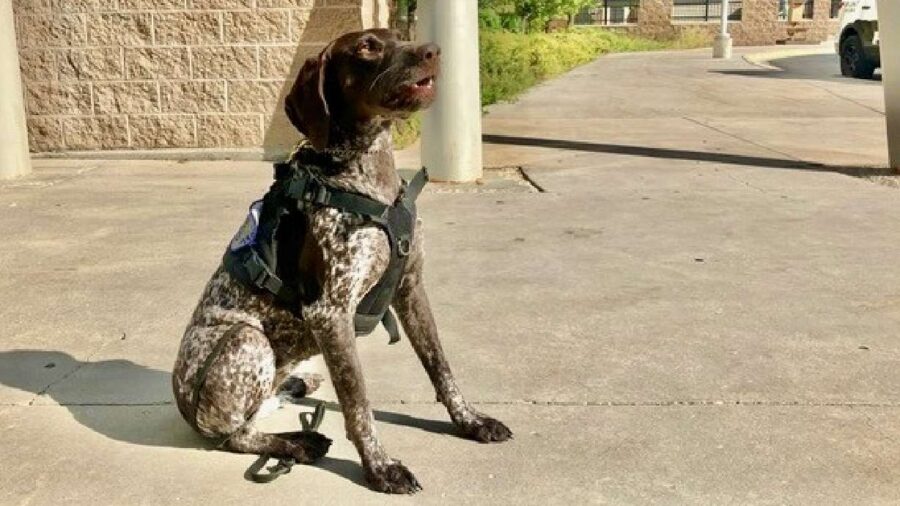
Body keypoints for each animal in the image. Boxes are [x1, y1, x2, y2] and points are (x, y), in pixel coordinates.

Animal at [172, 28, 510, 494]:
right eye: (367, 46)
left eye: (399, 37)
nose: (432, 51)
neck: (368, 175)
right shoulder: (329, 313)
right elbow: (357, 400)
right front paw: (381, 467)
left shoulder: (411, 288)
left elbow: (441, 366)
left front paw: (470, 420)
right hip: (245, 339)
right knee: (235, 434)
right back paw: (296, 443)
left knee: (263, 405)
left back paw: (297, 390)